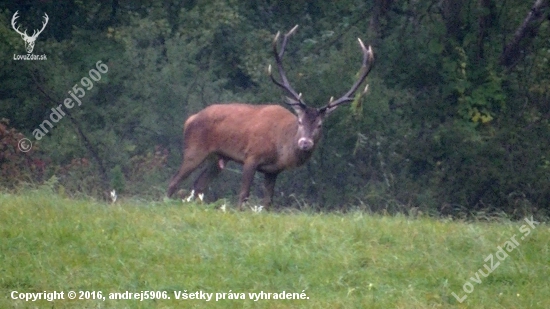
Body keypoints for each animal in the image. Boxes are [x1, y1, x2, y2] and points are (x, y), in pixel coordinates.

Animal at [168, 25, 376, 208]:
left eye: (319, 125)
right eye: (300, 121)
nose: (305, 143)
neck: (280, 147)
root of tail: (190, 119)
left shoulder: (274, 171)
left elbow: (268, 202)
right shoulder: (251, 156)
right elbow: (243, 195)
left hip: (219, 158)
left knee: (199, 185)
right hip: (194, 149)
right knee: (174, 181)